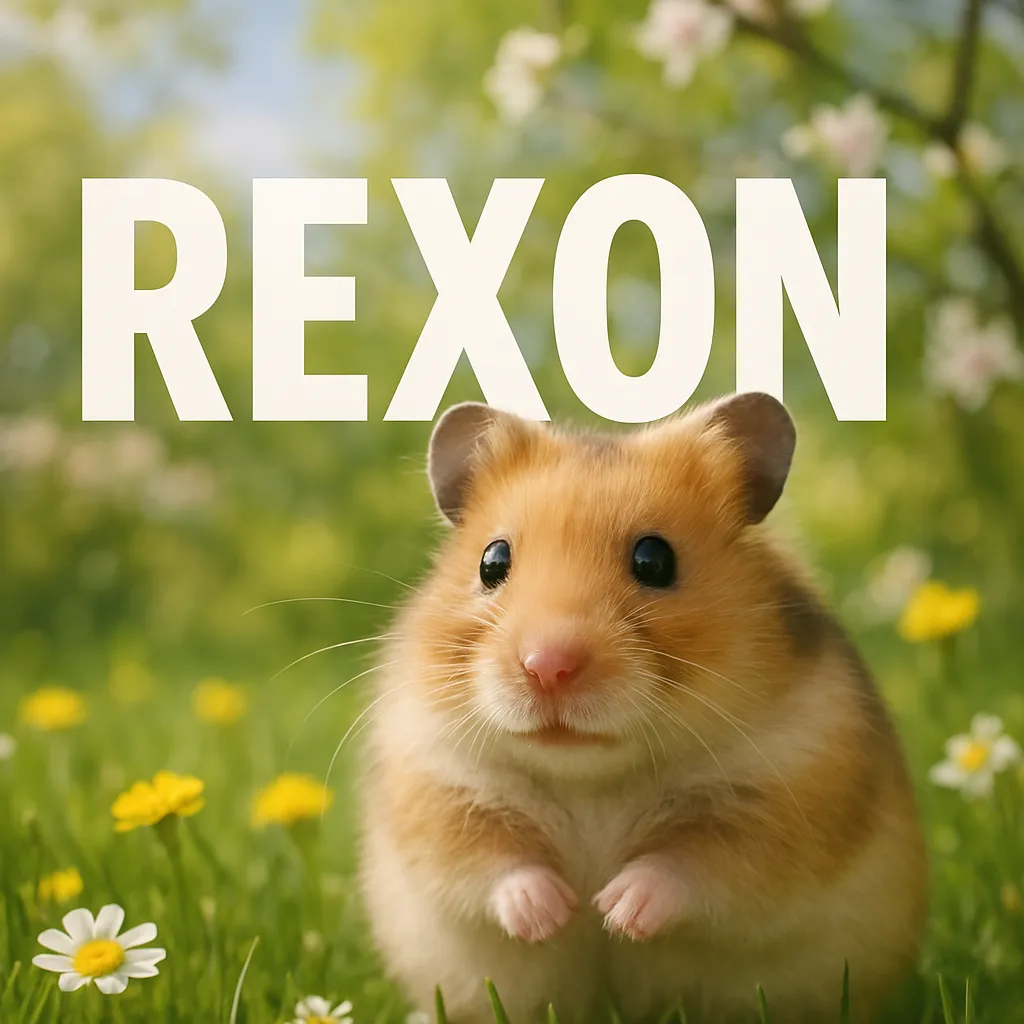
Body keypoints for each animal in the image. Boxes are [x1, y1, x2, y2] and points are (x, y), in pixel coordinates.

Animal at [358, 393, 927, 1024]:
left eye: (655, 560)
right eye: (492, 561)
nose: (547, 666)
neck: (592, 777)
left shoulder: (795, 793)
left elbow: (694, 865)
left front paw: (614, 909)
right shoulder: (434, 784)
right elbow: (491, 862)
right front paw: (557, 911)